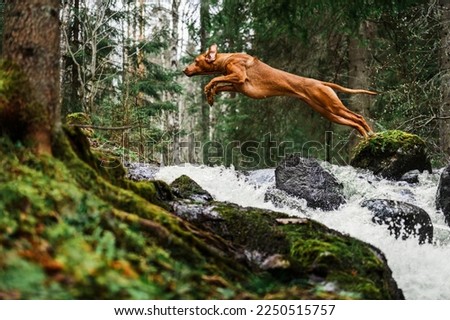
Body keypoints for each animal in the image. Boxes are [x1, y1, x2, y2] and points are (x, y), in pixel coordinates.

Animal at [184, 43, 376, 136]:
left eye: (195, 61)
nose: (184, 70)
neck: (227, 58)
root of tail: (322, 83)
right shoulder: (237, 85)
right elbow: (218, 84)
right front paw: (210, 95)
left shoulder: (238, 77)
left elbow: (213, 79)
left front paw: (208, 91)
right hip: (328, 112)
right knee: (353, 122)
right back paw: (366, 137)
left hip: (332, 105)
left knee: (358, 117)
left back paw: (371, 134)